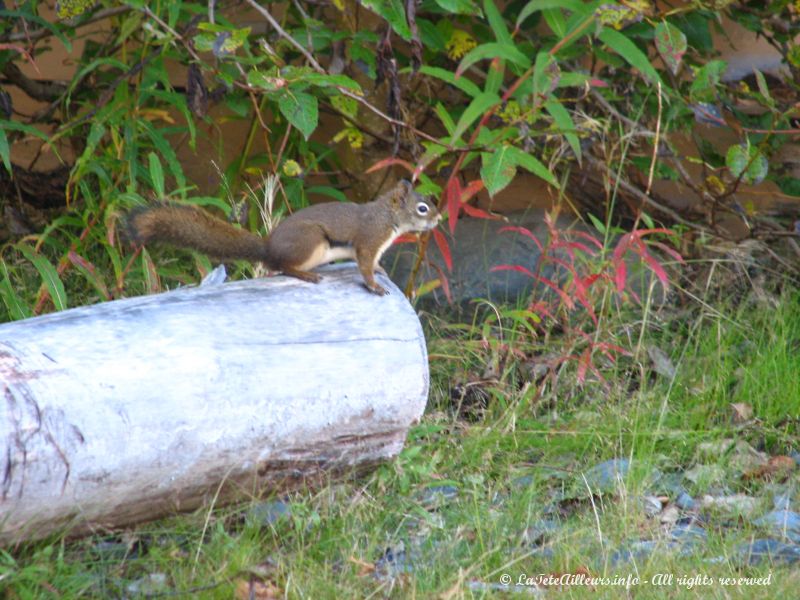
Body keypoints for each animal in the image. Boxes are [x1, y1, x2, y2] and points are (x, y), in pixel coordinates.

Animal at [127, 178, 440, 296]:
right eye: (422, 208)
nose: (439, 219)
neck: (388, 217)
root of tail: (268, 247)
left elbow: (371, 263)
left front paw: (381, 271)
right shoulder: (369, 239)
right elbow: (364, 265)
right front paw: (375, 285)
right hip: (311, 242)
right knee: (282, 266)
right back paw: (305, 275)